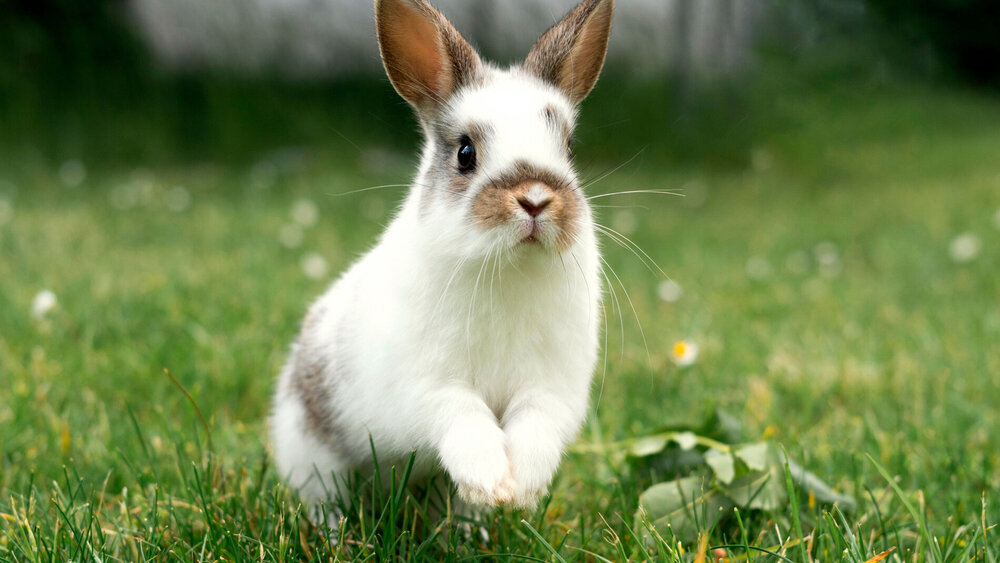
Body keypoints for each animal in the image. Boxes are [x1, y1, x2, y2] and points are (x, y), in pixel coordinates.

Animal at [270, 0, 613, 530]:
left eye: (570, 148)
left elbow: (534, 426)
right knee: (327, 499)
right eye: (465, 152)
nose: (536, 199)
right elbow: (463, 417)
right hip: (314, 456)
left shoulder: (549, 389)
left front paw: (519, 488)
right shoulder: (428, 388)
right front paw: (492, 480)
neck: (508, 268)